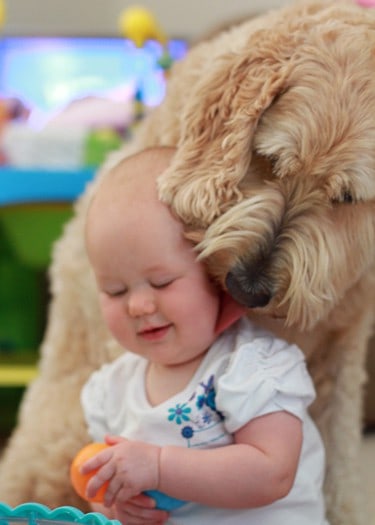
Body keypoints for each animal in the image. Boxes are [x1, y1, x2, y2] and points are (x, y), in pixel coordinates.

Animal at [1, 1, 374, 524]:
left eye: (346, 198)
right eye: (269, 159)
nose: (247, 287)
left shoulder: (343, 350)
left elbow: (337, 465)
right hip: (57, 432)